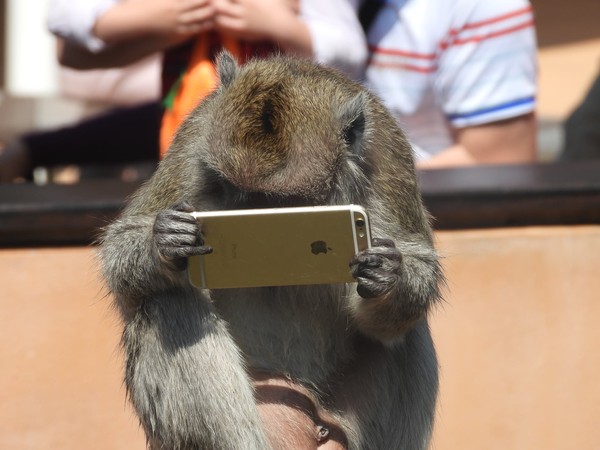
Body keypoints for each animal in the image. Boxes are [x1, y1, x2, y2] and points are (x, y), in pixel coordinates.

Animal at [99, 51, 446, 448]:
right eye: (229, 187)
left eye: (274, 200)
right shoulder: (192, 139)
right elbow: (120, 255)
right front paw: (168, 242)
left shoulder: (389, 156)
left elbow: (418, 264)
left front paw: (387, 274)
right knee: (168, 301)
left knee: (405, 334)